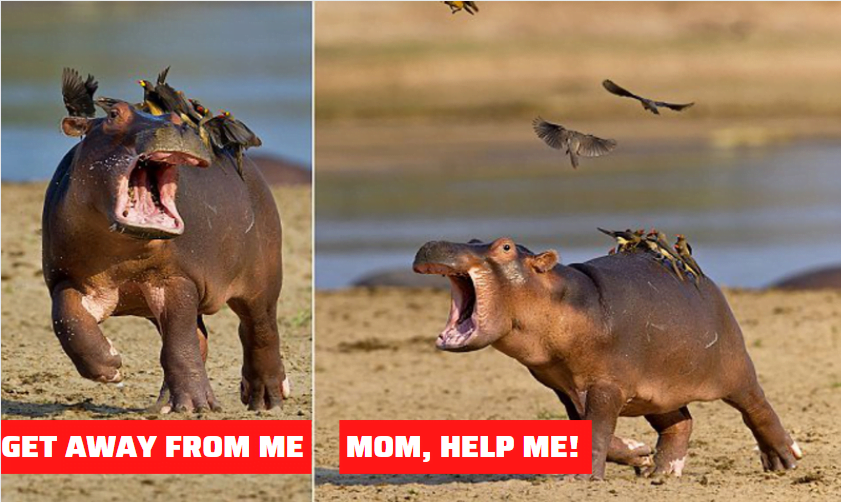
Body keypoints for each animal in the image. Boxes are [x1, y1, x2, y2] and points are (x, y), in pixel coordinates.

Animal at [44, 102, 290, 412]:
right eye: (113, 114)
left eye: (176, 117)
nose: (176, 127)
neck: (124, 252)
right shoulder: (67, 279)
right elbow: (67, 319)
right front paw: (111, 367)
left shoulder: (177, 278)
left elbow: (179, 342)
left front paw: (197, 406)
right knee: (201, 340)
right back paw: (163, 405)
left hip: (262, 282)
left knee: (259, 331)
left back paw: (266, 401)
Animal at [414, 237, 800, 480]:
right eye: (473, 237)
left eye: (506, 246)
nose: (436, 243)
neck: (556, 296)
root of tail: (707, 281)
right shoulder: (564, 386)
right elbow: (584, 428)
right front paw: (638, 453)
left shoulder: (606, 385)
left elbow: (598, 428)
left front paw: (585, 478)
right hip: (655, 391)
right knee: (679, 424)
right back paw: (662, 472)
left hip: (736, 368)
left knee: (756, 406)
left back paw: (784, 460)